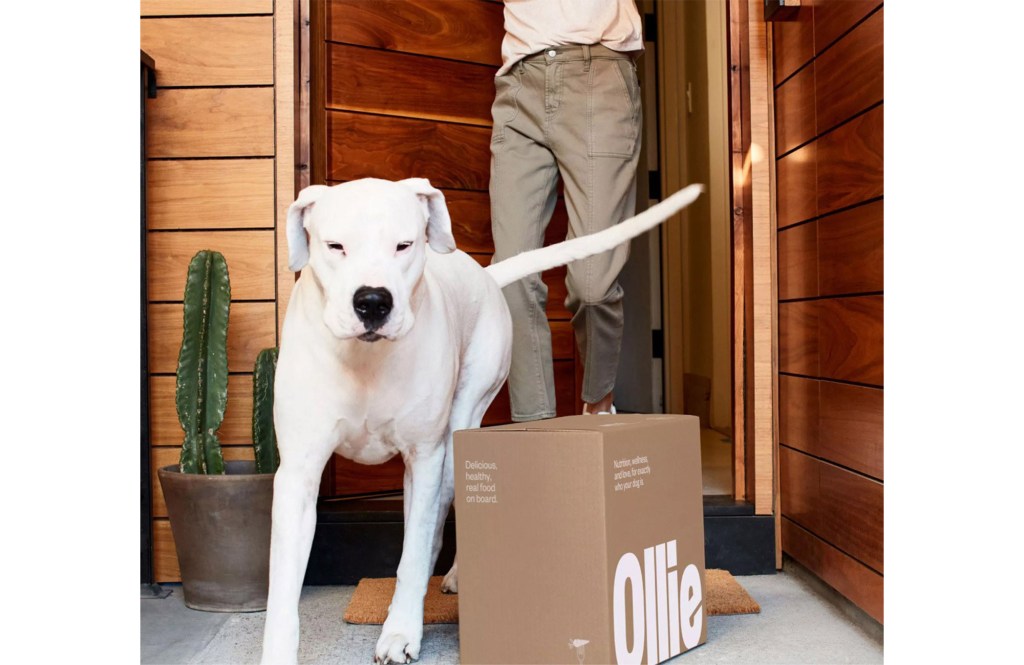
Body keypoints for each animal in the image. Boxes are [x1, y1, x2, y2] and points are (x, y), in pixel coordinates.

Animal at [260, 174, 700, 659]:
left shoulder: (425, 458)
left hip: (462, 428)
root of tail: (486, 275)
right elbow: (284, 586)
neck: (366, 360)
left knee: (434, 527)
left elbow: (414, 554)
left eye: (404, 245)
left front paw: (400, 632)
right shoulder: (298, 474)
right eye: (335, 246)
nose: (373, 302)